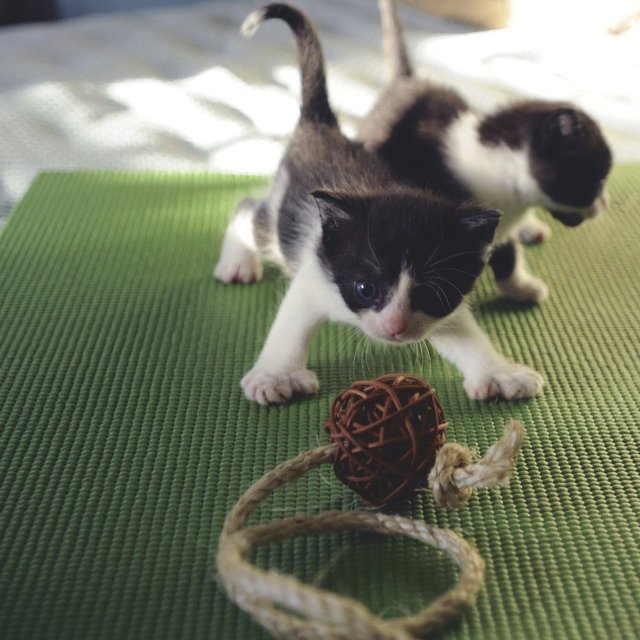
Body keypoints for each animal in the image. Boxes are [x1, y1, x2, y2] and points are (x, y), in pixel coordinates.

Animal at [215, 2, 544, 404]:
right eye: (365, 289)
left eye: (429, 293)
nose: (394, 327)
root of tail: (321, 126)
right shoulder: (316, 268)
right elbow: (291, 321)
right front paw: (276, 375)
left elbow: (462, 332)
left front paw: (500, 372)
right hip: (279, 226)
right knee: (248, 210)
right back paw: (237, 262)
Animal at [358, 0, 612, 304]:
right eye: (597, 182)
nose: (606, 203)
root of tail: (405, 82)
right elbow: (501, 254)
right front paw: (523, 290)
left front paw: (521, 282)